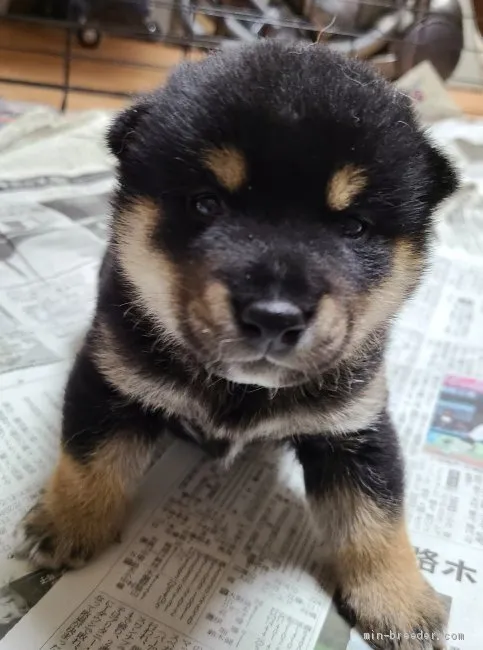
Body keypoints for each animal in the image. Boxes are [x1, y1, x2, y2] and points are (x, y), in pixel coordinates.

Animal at [18, 40, 458, 644]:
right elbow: (89, 459)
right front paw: (68, 521)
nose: (274, 317)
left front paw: (400, 600)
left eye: (354, 227)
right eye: (207, 203)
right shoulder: (109, 377)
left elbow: (377, 515)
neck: (240, 388)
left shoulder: (355, 426)